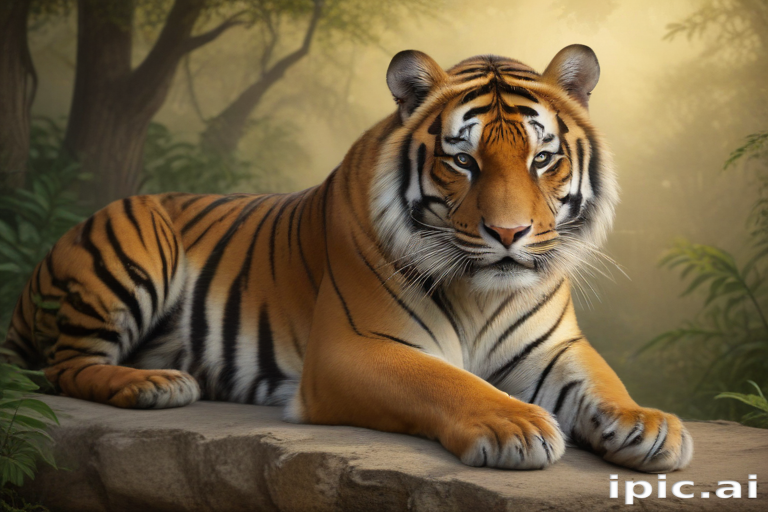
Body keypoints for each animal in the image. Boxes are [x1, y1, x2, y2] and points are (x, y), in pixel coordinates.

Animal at [3, 45, 693, 472]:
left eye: (542, 159)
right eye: (463, 160)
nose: (509, 232)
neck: (482, 292)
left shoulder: (552, 347)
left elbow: (602, 381)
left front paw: (648, 424)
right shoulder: (355, 349)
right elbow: (447, 382)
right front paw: (516, 426)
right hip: (138, 239)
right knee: (63, 368)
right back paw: (154, 385)